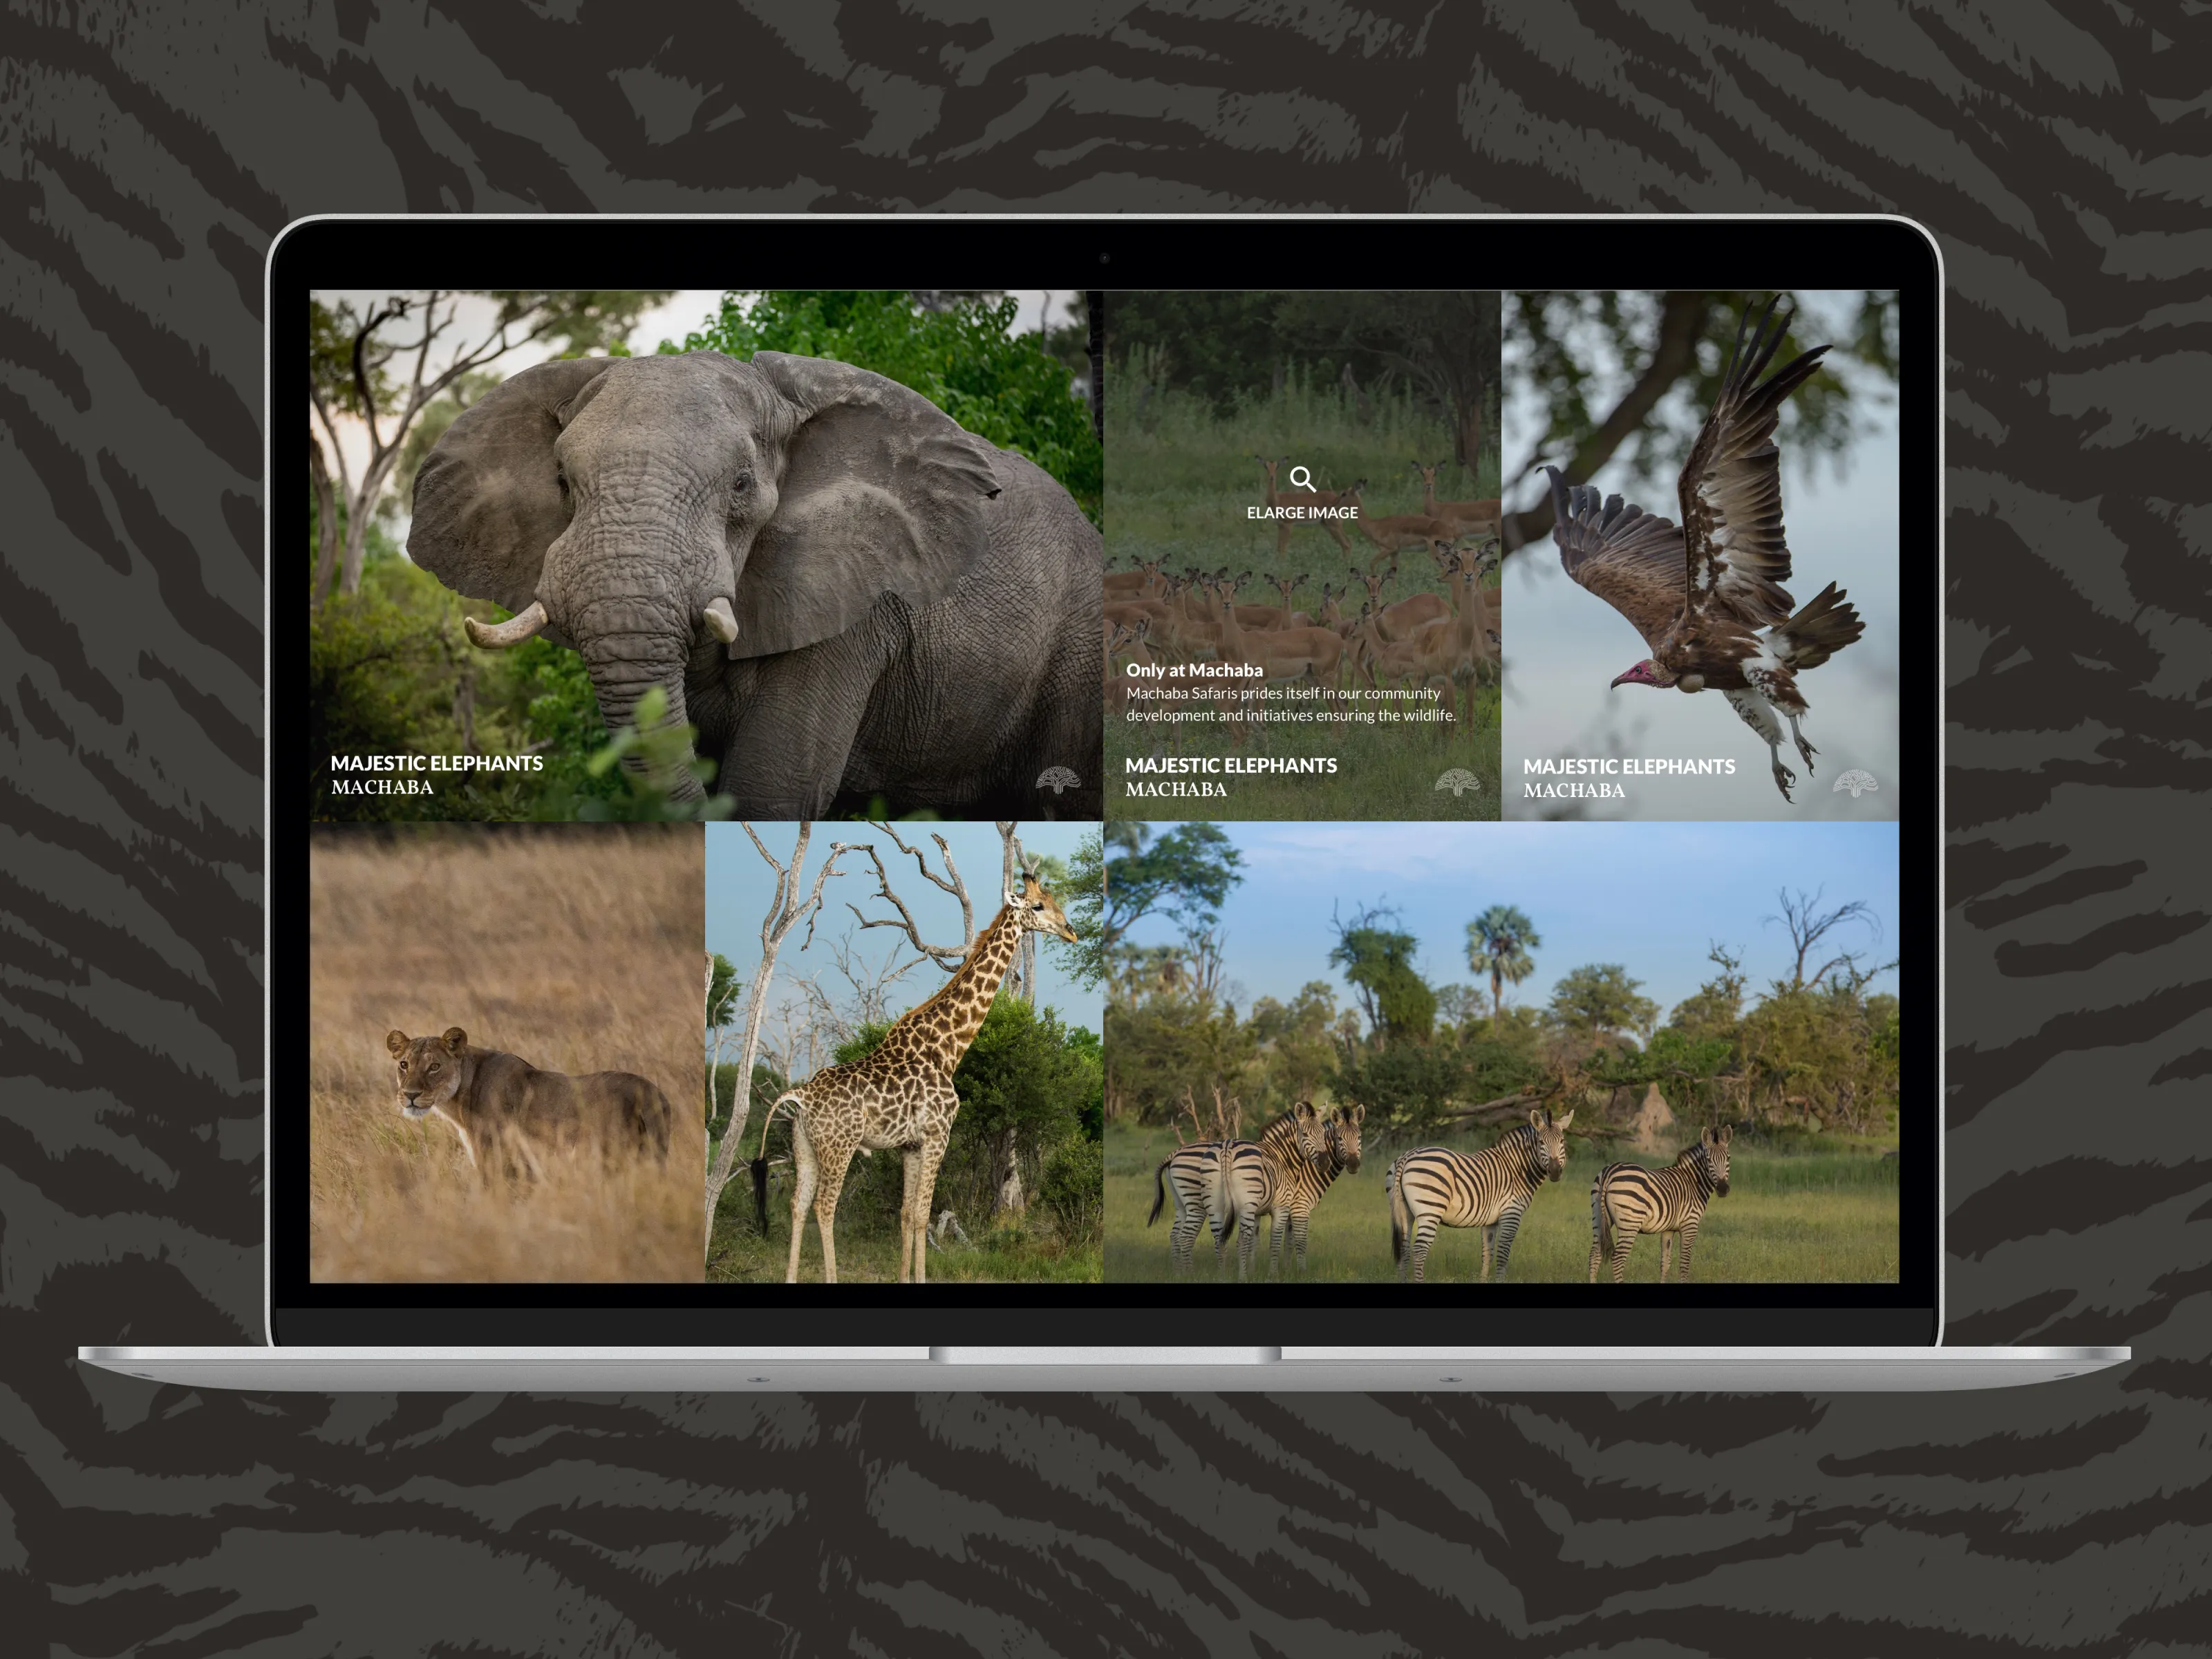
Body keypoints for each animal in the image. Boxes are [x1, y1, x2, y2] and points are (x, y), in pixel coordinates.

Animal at [1386, 1108, 1575, 1283]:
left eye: (1562, 1141)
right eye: (1541, 1142)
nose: (1555, 1171)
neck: (1518, 1169)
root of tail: (1406, 1156)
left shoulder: (1490, 1221)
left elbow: (1487, 1255)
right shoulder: (1511, 1214)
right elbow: (1502, 1255)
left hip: (1405, 1212)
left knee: (1404, 1250)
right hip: (1430, 1211)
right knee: (1419, 1251)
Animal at [1589, 1124, 1733, 1283]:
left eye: (1728, 1158)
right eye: (1709, 1160)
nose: (1723, 1189)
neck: (1693, 1182)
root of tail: (1609, 1172)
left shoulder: (1668, 1229)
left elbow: (1665, 1262)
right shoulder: (1690, 1225)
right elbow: (1684, 1264)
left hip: (1599, 1218)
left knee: (1594, 1255)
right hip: (1630, 1223)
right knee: (1617, 1259)